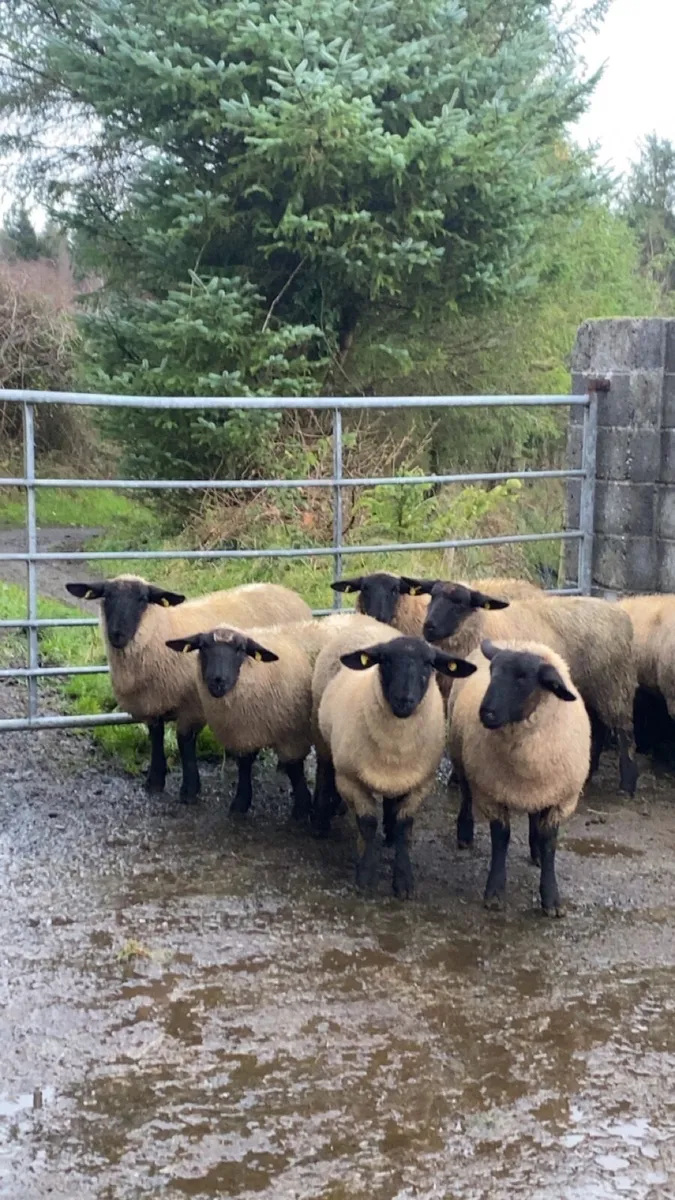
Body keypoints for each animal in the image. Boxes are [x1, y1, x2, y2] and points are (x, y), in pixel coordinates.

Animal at [65, 575, 311, 803]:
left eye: (142, 599)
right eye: (106, 597)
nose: (117, 634)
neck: (159, 634)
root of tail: (288, 592)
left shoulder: (193, 706)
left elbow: (185, 742)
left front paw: (190, 789)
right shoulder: (152, 703)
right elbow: (156, 737)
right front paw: (155, 781)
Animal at [165, 612, 386, 816]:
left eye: (240, 649)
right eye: (202, 647)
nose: (217, 681)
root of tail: (365, 618)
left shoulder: (292, 732)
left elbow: (294, 768)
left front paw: (301, 807)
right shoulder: (244, 730)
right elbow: (244, 764)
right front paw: (240, 803)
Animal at [313, 627, 476, 897]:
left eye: (428, 663)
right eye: (386, 661)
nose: (404, 700)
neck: (395, 747)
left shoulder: (421, 784)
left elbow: (403, 825)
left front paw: (403, 880)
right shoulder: (350, 780)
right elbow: (368, 824)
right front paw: (366, 875)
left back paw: (388, 836)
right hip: (323, 739)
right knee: (324, 772)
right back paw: (320, 821)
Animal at [448, 639, 591, 917]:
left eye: (523, 678)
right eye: (492, 671)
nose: (486, 713)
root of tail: (517, 641)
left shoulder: (560, 799)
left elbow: (549, 843)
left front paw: (551, 898)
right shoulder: (491, 793)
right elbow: (500, 839)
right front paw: (494, 893)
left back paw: (535, 850)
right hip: (461, 757)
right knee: (466, 795)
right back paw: (465, 832)